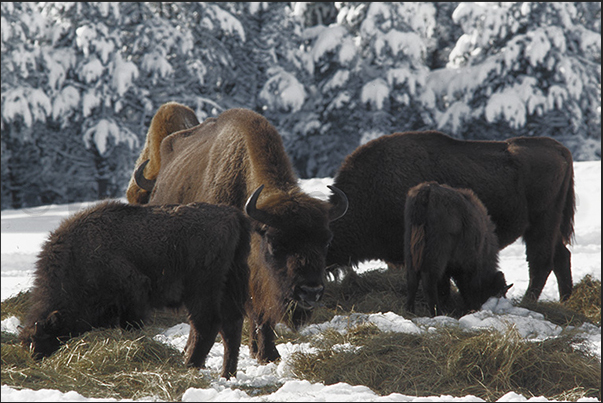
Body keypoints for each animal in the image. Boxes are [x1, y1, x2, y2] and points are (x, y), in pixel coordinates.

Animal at [18, 200, 250, 380]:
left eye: (44, 338)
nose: (36, 360)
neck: (78, 256)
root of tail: (233, 215)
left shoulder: (134, 292)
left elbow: (132, 326)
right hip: (229, 286)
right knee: (231, 326)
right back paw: (226, 374)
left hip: (201, 290)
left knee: (207, 325)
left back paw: (190, 366)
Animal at [126, 102, 350, 364]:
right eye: (275, 243)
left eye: (326, 241)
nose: (310, 292)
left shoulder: (259, 283)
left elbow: (262, 316)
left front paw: (266, 355)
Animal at [328, 131, 580, 304]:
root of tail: (559, 148)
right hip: (548, 227)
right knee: (561, 257)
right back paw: (565, 301)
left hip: (541, 223)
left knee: (541, 261)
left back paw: (528, 302)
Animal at [404, 181, 512, 318]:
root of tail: (428, 190)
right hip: (436, 255)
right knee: (429, 281)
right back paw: (437, 313)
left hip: (411, 250)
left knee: (412, 279)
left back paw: (409, 310)